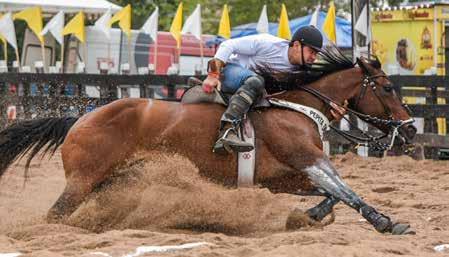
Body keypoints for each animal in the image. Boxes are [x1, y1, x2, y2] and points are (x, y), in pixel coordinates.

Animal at [0, 50, 414, 234]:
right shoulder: (307, 158)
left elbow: (330, 195)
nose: (409, 129)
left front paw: (307, 216)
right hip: (82, 182)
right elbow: (346, 191)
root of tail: (81, 118)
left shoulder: (283, 177)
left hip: (109, 182)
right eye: (388, 88)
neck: (297, 106)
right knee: (54, 216)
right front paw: (387, 223)